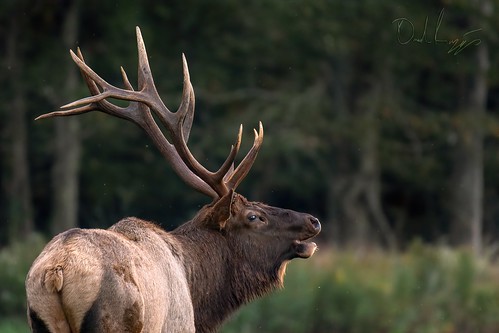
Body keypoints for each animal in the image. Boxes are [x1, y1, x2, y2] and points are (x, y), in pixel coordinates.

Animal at [27, 26, 322, 332]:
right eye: (254, 216)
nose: (313, 220)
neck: (196, 294)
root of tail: (56, 271)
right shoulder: (178, 324)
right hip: (115, 318)